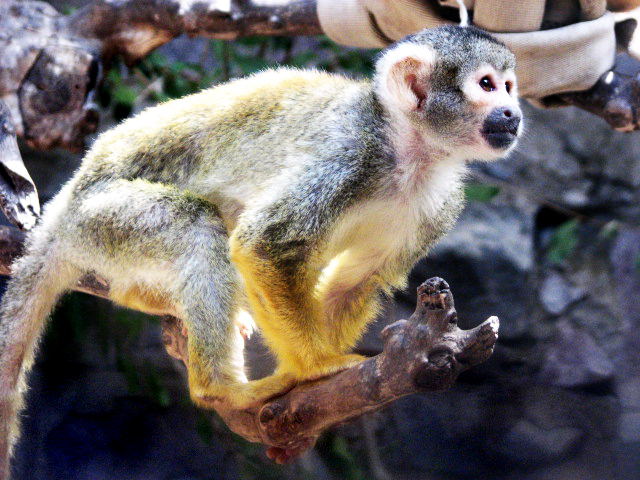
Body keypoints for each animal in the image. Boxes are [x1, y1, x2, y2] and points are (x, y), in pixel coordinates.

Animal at [0, 24, 520, 474]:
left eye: (510, 87)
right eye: (487, 85)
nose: (513, 112)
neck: (408, 151)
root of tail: (62, 205)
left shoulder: (439, 206)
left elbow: (357, 282)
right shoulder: (348, 151)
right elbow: (263, 243)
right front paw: (317, 367)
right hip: (102, 216)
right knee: (199, 228)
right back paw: (222, 390)